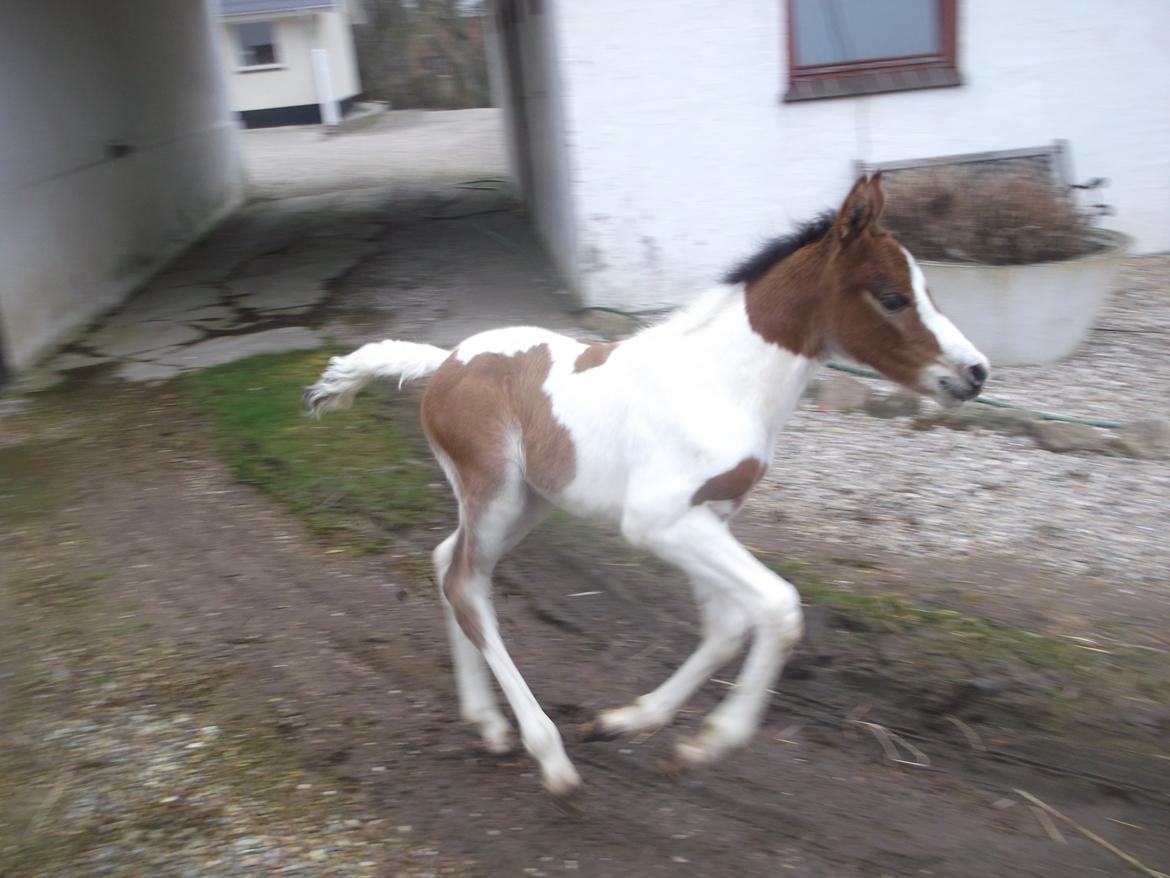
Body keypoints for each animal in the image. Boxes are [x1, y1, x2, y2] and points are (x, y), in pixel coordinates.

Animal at [308, 176, 987, 796]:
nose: (976, 372)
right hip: (496, 495)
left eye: (928, 290)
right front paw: (712, 742)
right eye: (893, 297)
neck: (721, 381)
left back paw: (490, 725)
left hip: (526, 502)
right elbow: (778, 607)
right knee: (466, 587)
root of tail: (444, 361)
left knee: (448, 562)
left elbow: (726, 626)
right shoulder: (660, 522)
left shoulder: (710, 518)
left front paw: (630, 723)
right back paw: (547, 753)